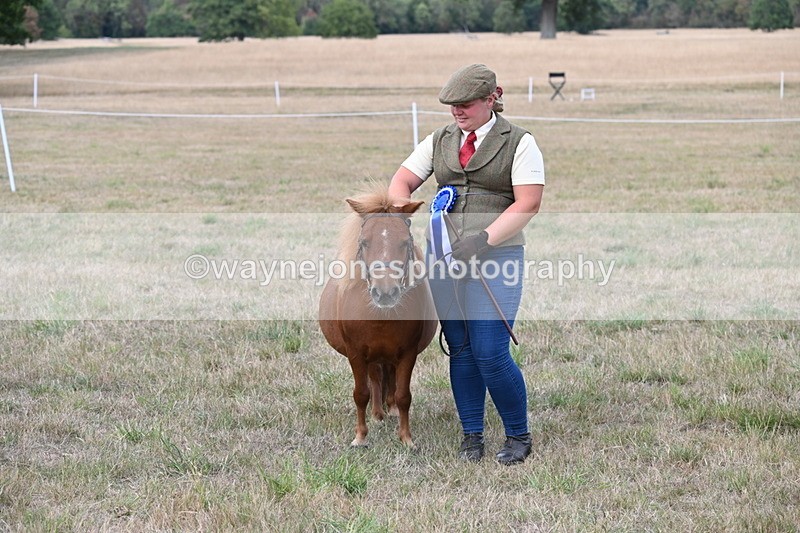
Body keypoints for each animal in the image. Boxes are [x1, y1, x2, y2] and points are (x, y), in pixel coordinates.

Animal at [318, 188, 438, 448]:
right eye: (364, 242)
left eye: (405, 242)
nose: (385, 293)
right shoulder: (355, 352)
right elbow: (361, 393)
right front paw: (360, 437)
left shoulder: (408, 353)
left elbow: (403, 396)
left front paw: (406, 438)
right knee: (374, 378)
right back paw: (377, 413)